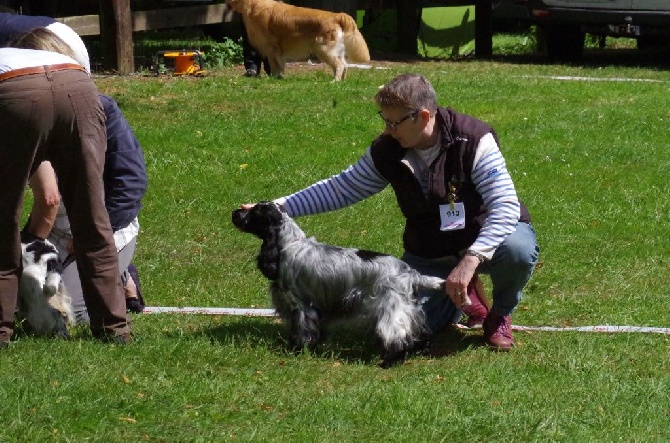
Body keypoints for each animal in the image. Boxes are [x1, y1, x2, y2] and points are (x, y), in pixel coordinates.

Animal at [232, 201, 462, 368]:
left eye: (254, 212)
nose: (235, 212)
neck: (289, 244)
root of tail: (412, 273)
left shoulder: (301, 303)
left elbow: (302, 330)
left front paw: (296, 350)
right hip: (410, 309)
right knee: (420, 332)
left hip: (391, 309)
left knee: (397, 337)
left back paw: (388, 362)